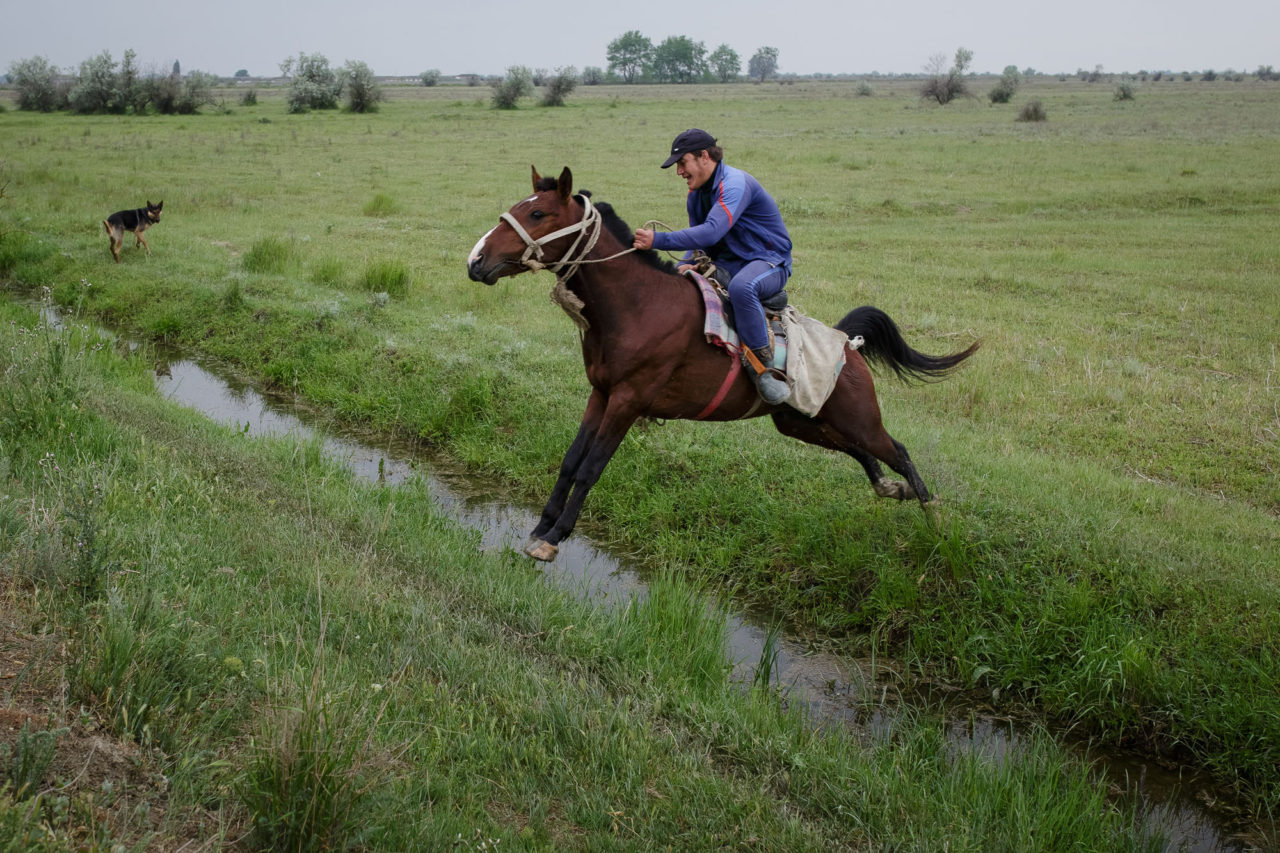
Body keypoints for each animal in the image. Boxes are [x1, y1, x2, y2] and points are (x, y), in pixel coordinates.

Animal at [471, 169, 977, 560]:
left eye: (538, 214)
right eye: (520, 206)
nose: (476, 261)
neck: (637, 304)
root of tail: (847, 345)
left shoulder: (628, 401)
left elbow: (591, 467)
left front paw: (555, 536)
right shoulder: (601, 393)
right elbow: (570, 461)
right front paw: (542, 525)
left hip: (857, 418)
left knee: (898, 450)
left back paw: (934, 518)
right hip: (802, 422)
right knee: (861, 452)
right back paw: (892, 490)